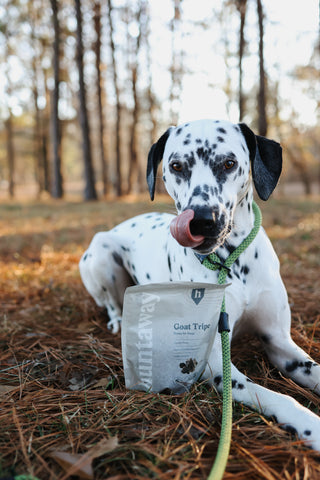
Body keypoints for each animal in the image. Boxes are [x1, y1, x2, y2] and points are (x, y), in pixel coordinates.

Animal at [79, 119, 320, 450]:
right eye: (176, 166)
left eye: (229, 163)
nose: (202, 220)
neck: (231, 263)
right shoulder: (217, 363)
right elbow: (279, 397)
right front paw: (312, 425)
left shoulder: (279, 341)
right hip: (100, 254)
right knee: (111, 303)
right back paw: (117, 321)